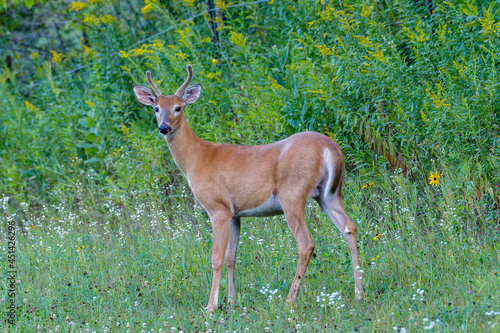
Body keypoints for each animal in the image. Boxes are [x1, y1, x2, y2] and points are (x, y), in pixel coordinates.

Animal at [133, 63, 366, 312]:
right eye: (156, 108)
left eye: (178, 107)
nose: (163, 128)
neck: (197, 159)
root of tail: (330, 147)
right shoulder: (235, 213)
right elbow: (231, 257)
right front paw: (232, 301)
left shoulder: (218, 208)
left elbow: (216, 258)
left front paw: (211, 306)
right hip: (328, 194)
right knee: (349, 227)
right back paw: (359, 293)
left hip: (292, 193)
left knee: (306, 243)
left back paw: (289, 300)